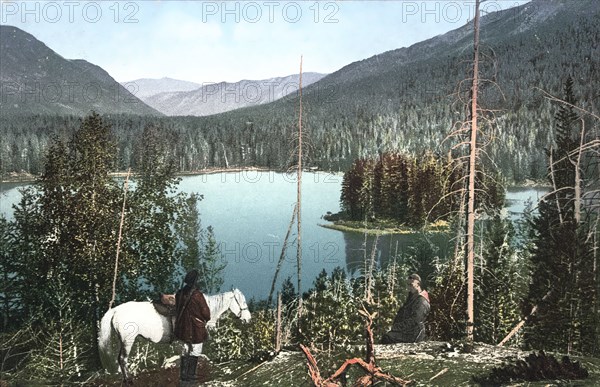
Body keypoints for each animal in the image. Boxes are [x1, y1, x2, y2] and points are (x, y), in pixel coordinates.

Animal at [98, 290, 251, 384]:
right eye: (242, 302)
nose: (248, 319)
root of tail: (115, 310)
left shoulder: (187, 342)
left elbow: (187, 357)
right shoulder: (195, 342)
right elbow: (193, 356)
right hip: (127, 341)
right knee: (123, 359)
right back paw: (129, 380)